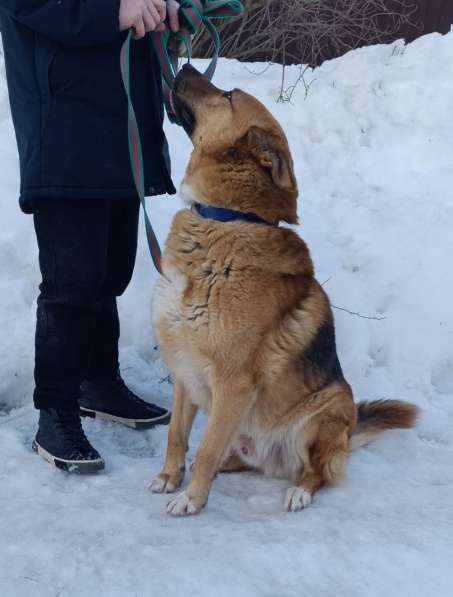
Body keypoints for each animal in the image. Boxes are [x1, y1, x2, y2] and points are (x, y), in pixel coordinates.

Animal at [150, 64, 418, 512]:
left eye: (227, 95)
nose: (184, 65)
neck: (226, 220)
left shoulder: (234, 383)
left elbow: (204, 448)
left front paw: (191, 500)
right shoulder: (184, 369)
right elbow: (178, 436)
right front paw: (171, 478)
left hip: (325, 412)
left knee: (316, 471)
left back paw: (299, 492)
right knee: (233, 455)